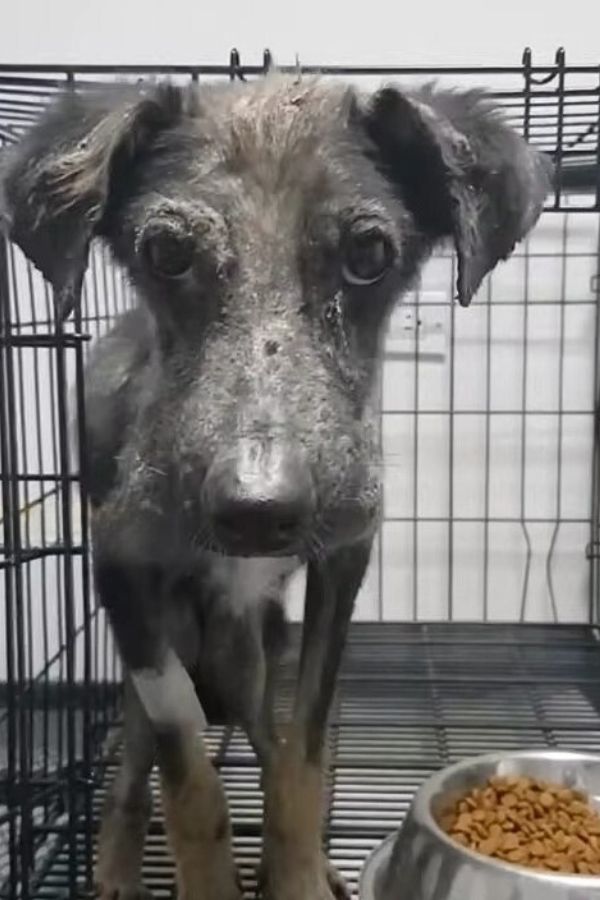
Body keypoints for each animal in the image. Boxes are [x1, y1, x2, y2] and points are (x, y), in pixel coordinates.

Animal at [0, 75, 552, 900]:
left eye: (369, 253)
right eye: (166, 252)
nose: (258, 512)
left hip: (255, 648)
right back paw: (119, 867)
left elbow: (303, 755)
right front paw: (208, 875)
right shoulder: (121, 569)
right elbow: (189, 779)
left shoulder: (343, 561)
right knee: (133, 765)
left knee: (265, 737)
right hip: (160, 651)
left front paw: (296, 873)